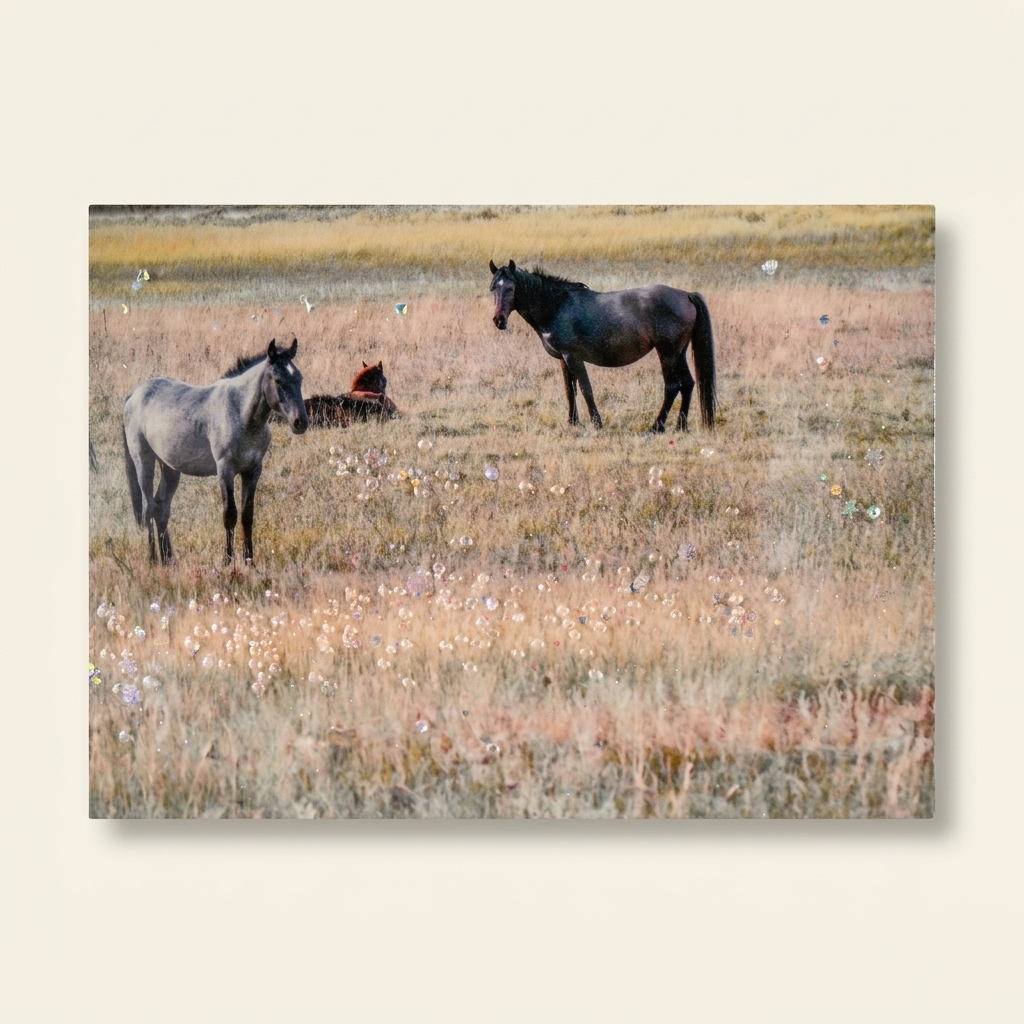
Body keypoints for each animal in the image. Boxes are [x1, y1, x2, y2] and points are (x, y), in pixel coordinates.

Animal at [122, 339, 308, 566]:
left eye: (299, 378)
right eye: (278, 381)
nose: (301, 422)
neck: (240, 413)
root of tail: (134, 395)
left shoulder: (253, 471)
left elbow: (247, 515)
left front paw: (249, 561)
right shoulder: (225, 470)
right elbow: (230, 515)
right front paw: (228, 561)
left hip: (170, 468)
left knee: (161, 508)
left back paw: (169, 559)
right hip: (144, 461)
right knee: (149, 507)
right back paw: (153, 559)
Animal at [488, 260, 716, 432]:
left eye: (511, 288)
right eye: (493, 289)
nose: (499, 320)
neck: (557, 306)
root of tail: (686, 295)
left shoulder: (573, 357)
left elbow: (585, 389)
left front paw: (596, 423)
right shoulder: (563, 359)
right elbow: (570, 390)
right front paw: (572, 422)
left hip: (667, 353)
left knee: (672, 386)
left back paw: (656, 427)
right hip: (679, 353)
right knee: (688, 384)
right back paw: (681, 426)